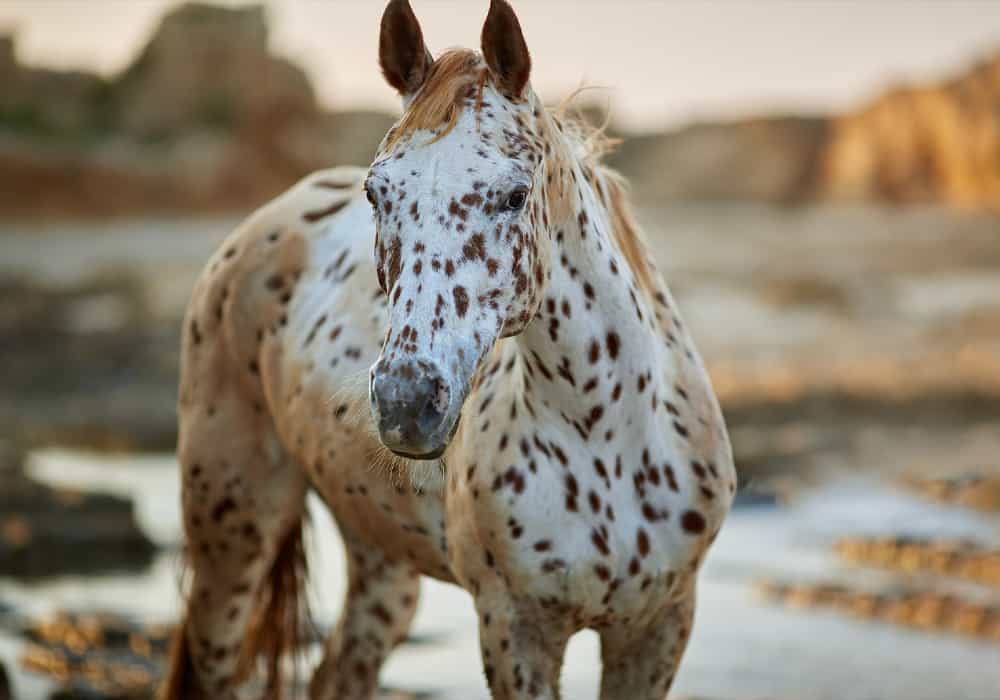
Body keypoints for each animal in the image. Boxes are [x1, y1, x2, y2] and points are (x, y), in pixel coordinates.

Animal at [156, 2, 736, 696]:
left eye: (515, 194)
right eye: (377, 193)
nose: (406, 404)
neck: (605, 438)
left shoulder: (657, 629)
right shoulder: (514, 628)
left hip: (380, 560)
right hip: (233, 529)